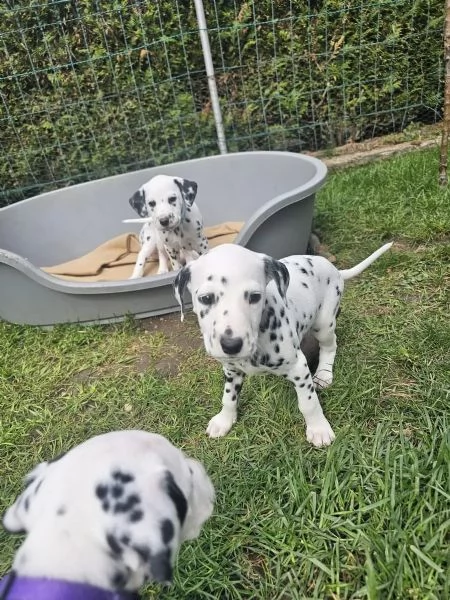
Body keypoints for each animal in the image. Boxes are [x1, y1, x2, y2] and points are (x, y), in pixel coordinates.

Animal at [174, 243, 392, 446]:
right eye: (205, 298)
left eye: (255, 296)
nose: (231, 344)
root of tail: (335, 270)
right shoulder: (231, 370)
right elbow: (229, 397)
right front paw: (224, 420)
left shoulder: (299, 368)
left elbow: (308, 403)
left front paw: (318, 428)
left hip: (324, 324)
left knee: (330, 346)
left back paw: (324, 374)